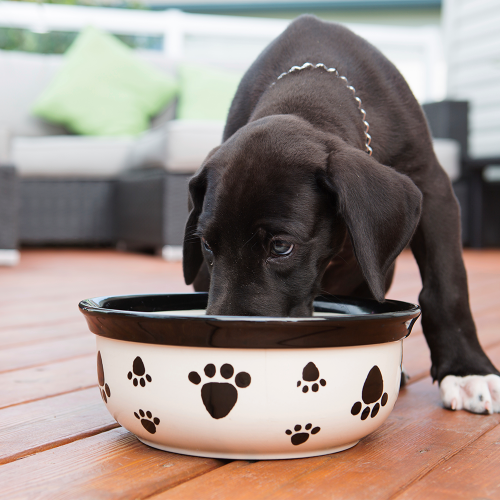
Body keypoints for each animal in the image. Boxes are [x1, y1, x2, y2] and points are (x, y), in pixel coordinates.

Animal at [185, 15, 500, 414]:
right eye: (208, 246)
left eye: (281, 247)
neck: (310, 88)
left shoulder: (433, 187)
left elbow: (447, 285)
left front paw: (467, 370)